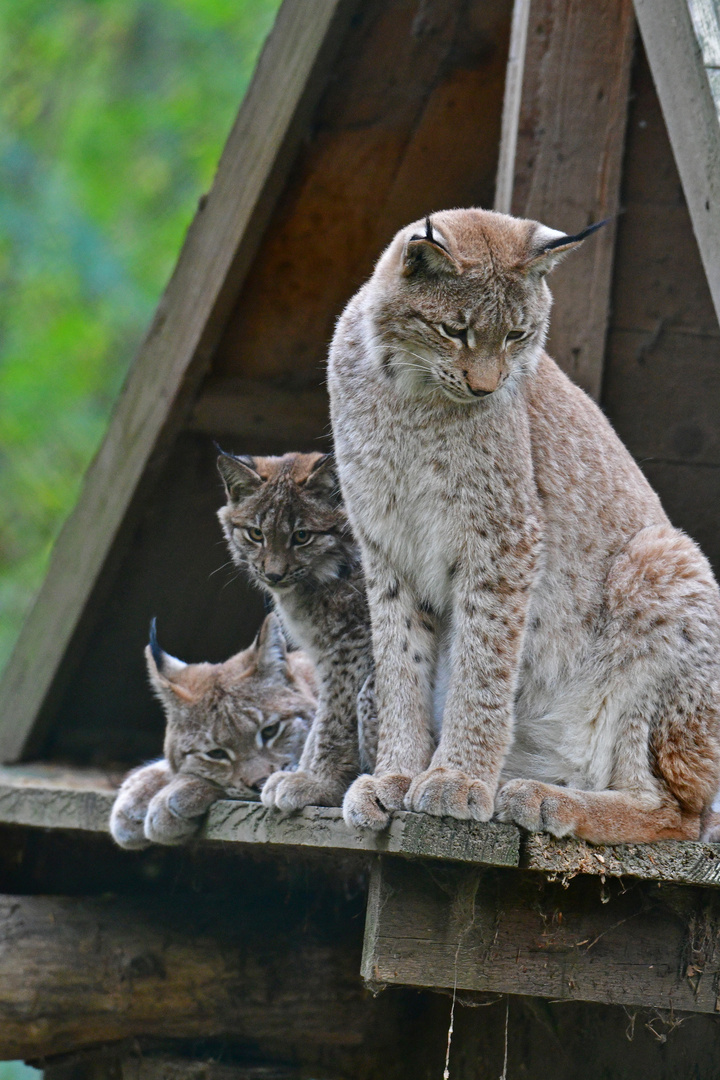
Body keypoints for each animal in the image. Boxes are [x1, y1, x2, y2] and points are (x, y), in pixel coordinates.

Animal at [216, 447, 375, 812]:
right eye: (256, 534)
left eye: (302, 537)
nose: (273, 575)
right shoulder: (322, 652)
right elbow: (319, 717)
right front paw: (302, 773)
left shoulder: (352, 646)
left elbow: (336, 719)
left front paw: (322, 785)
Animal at [330, 204, 720, 842]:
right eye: (455, 330)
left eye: (516, 335)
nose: (485, 388)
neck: (410, 395)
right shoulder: (385, 544)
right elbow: (399, 665)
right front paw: (396, 775)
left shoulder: (504, 537)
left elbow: (483, 662)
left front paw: (458, 779)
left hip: (664, 556)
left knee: (679, 813)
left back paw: (548, 799)